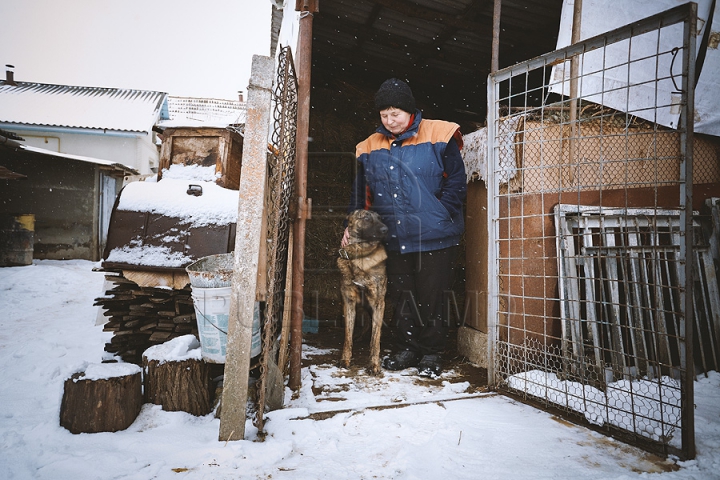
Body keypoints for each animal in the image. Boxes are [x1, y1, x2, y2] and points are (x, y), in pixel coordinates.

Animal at [338, 210, 388, 376]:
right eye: (366, 218)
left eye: (380, 218)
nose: (386, 229)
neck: (360, 253)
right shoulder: (349, 302)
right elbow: (347, 337)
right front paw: (345, 360)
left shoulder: (379, 303)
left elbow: (375, 339)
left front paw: (374, 365)